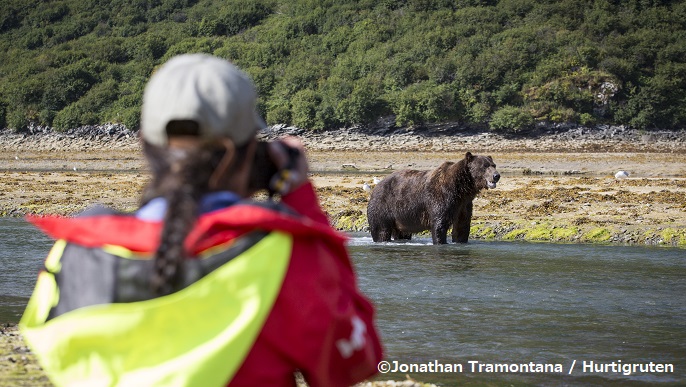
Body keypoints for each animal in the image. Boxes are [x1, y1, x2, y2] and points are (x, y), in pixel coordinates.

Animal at [368, 152, 502, 246]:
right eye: (484, 166)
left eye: (494, 165)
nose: (496, 175)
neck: (461, 189)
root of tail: (376, 187)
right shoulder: (441, 197)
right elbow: (439, 224)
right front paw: (441, 241)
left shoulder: (464, 204)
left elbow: (462, 226)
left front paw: (460, 240)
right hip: (383, 207)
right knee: (381, 230)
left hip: (401, 217)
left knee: (402, 234)